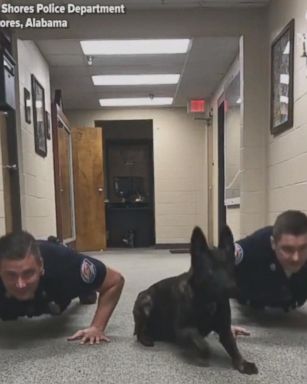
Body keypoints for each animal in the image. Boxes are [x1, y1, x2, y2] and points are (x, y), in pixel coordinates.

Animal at [134, 225, 258, 376]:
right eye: (210, 271)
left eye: (230, 268)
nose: (233, 289)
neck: (207, 300)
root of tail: (142, 292)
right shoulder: (182, 330)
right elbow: (202, 344)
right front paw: (203, 354)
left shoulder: (224, 329)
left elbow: (233, 347)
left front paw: (242, 363)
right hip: (146, 302)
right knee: (139, 331)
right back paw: (146, 338)